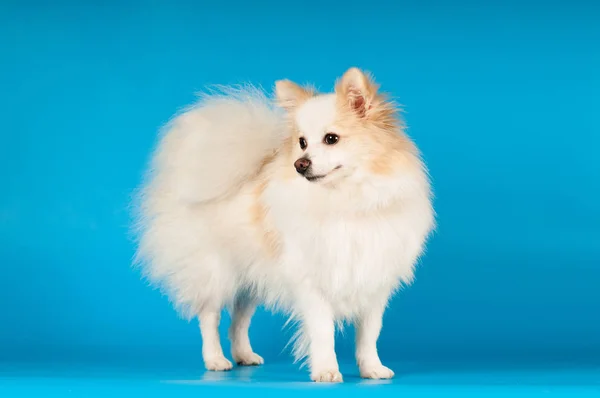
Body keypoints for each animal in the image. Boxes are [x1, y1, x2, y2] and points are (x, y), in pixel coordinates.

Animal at [134, 67, 434, 382]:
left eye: (331, 138)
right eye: (302, 142)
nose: (299, 164)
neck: (346, 199)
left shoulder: (374, 281)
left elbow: (369, 333)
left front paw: (372, 368)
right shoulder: (312, 282)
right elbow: (323, 332)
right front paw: (326, 370)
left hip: (251, 280)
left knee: (238, 321)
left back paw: (244, 355)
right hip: (215, 272)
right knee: (210, 317)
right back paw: (215, 359)